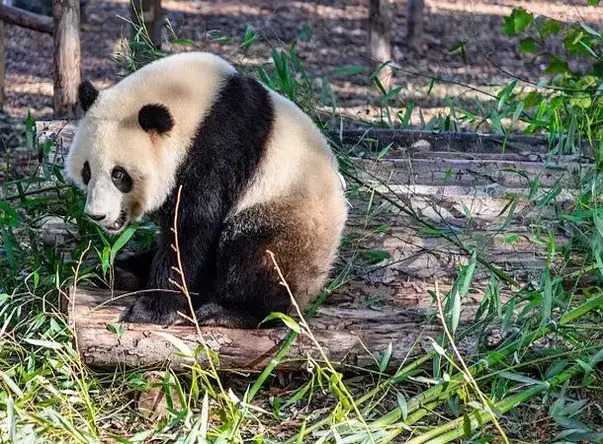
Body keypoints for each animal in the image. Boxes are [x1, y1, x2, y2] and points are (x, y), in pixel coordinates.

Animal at [65, 53, 350, 330]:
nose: (97, 215)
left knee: (255, 255)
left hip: (288, 215)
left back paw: (230, 312)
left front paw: (151, 309)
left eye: (119, 175)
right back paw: (122, 271)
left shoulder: (218, 148)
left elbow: (194, 228)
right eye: (87, 171)